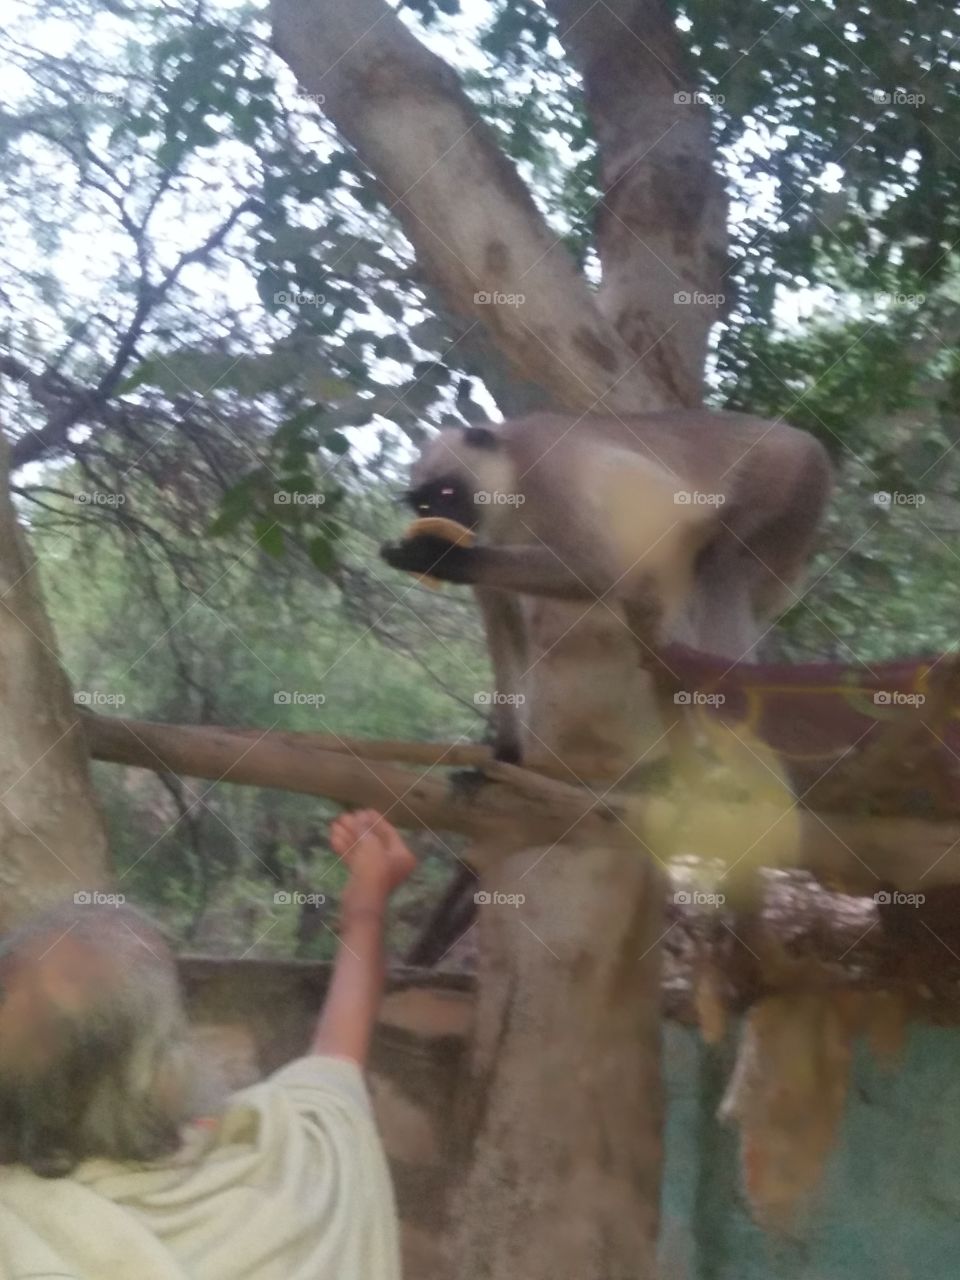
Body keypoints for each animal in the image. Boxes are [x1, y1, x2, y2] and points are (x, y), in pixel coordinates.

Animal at [381, 411, 832, 767]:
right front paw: (506, 751)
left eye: (446, 493)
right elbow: (506, 627)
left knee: (716, 569)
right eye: (423, 505)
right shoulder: (487, 535)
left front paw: (434, 556)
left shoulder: (548, 469)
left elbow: (597, 570)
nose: (435, 517)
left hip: (787, 482)